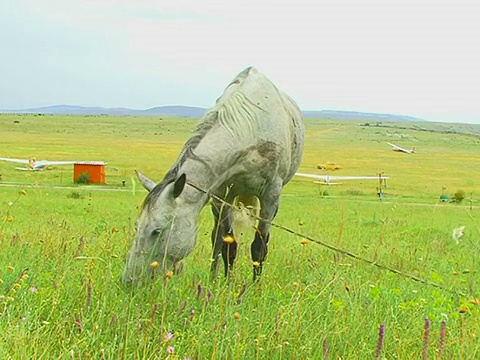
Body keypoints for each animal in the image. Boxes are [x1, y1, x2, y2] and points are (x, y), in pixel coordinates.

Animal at [123, 66, 304, 282]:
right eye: (137, 226)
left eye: (156, 231)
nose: (129, 281)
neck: (250, 131)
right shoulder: (221, 196)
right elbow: (227, 245)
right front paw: (223, 284)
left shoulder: (271, 197)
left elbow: (259, 248)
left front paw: (255, 287)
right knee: (218, 239)